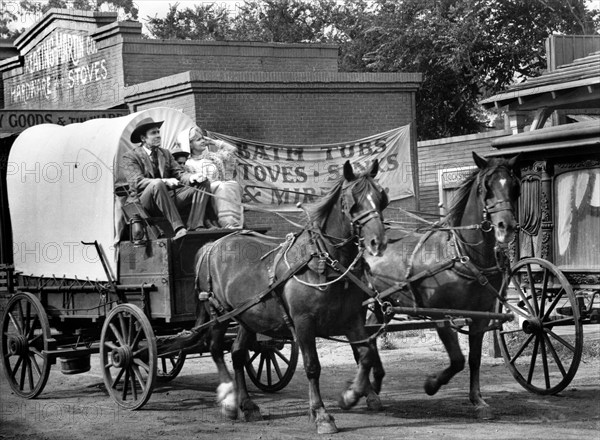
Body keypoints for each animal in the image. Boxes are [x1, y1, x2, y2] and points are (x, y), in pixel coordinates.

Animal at [195, 161, 386, 434]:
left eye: (381, 197)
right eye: (353, 202)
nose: (377, 242)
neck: (325, 261)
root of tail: (212, 244)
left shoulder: (352, 319)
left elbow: (366, 355)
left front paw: (351, 396)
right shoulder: (304, 322)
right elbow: (312, 366)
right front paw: (321, 414)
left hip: (247, 317)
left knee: (238, 353)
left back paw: (248, 405)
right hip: (219, 314)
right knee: (215, 349)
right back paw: (230, 400)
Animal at [366, 154, 520, 420]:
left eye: (513, 186)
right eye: (485, 188)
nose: (506, 226)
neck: (462, 255)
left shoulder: (480, 317)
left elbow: (474, 359)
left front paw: (478, 401)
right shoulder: (442, 316)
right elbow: (457, 359)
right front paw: (431, 384)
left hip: (381, 304)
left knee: (369, 336)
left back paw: (374, 386)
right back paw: (370, 392)